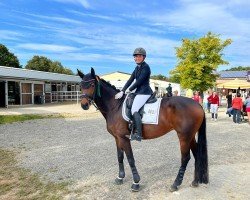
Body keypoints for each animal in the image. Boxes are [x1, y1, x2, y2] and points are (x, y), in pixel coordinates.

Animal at [78, 68, 209, 192]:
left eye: (92, 85)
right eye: (80, 85)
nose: (84, 105)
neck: (115, 106)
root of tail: (197, 105)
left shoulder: (124, 138)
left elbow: (130, 159)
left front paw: (136, 183)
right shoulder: (117, 138)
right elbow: (120, 156)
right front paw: (120, 177)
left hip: (184, 136)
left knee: (185, 158)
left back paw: (175, 184)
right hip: (190, 136)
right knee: (196, 154)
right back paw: (195, 182)